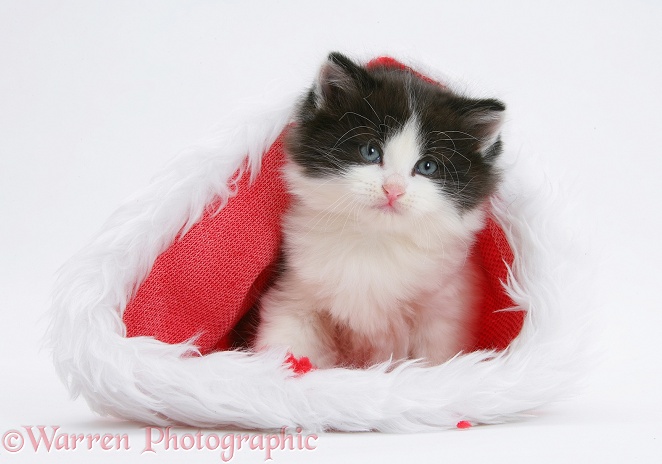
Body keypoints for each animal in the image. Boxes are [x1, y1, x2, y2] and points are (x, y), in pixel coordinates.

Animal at [256, 52, 506, 368]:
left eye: (427, 166)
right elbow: (286, 337)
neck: (375, 242)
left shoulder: (445, 312)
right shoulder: (294, 291)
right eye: (370, 152)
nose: (393, 190)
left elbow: (435, 359)